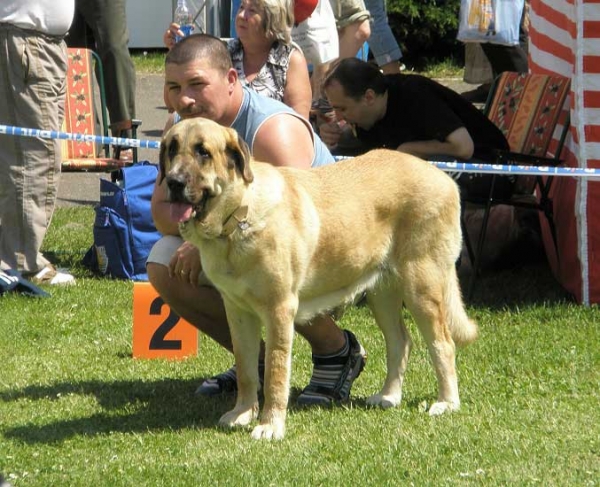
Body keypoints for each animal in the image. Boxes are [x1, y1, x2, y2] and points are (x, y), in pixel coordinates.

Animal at [161, 118, 478, 442]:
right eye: (171, 149)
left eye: (203, 152)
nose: (173, 182)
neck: (238, 217)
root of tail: (444, 177)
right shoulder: (237, 311)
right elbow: (247, 367)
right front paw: (242, 413)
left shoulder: (279, 310)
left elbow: (275, 372)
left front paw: (270, 425)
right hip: (382, 293)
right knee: (400, 342)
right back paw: (388, 396)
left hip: (421, 287)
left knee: (442, 343)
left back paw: (446, 402)